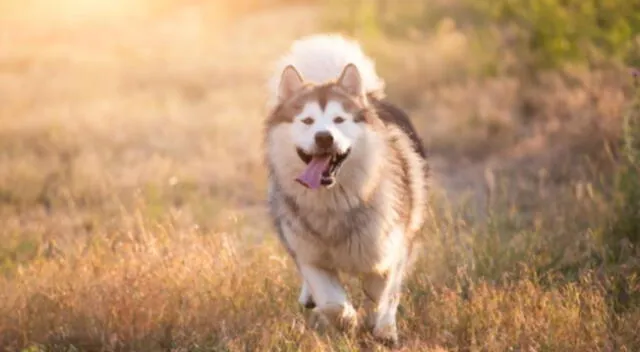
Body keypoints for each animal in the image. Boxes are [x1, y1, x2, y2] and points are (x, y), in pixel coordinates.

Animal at [262, 33, 428, 346]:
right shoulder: (311, 255)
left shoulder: (388, 250)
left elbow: (382, 294)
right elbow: (331, 302)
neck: (335, 202)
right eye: (307, 120)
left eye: (339, 120)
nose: (324, 137)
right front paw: (346, 320)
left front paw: (381, 328)